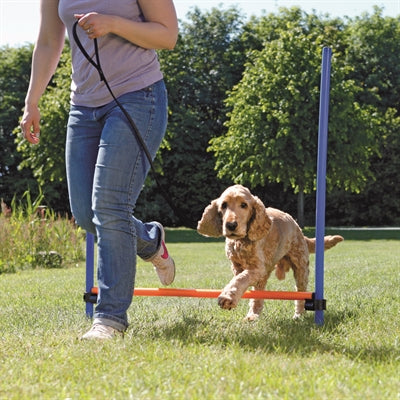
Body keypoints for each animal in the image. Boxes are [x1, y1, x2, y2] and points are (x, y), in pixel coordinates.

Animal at [197, 185, 344, 322]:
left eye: (244, 205)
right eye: (224, 205)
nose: (231, 225)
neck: (241, 241)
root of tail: (298, 228)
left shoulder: (258, 268)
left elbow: (240, 279)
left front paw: (227, 298)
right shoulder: (237, 265)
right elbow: (240, 279)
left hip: (300, 266)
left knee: (301, 292)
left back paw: (298, 315)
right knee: (258, 294)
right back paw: (253, 315)